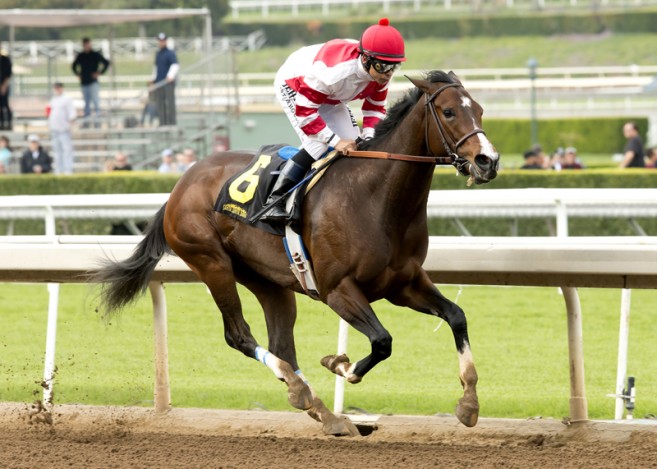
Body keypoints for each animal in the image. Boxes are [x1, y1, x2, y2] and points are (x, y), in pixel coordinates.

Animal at [91, 69, 498, 436]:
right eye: (449, 112)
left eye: (479, 110)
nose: (487, 161)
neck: (375, 199)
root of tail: (180, 185)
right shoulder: (338, 290)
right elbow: (382, 342)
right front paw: (339, 364)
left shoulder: (404, 284)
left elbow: (457, 316)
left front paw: (469, 403)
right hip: (211, 262)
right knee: (239, 335)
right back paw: (302, 390)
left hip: (267, 280)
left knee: (281, 344)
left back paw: (323, 411)